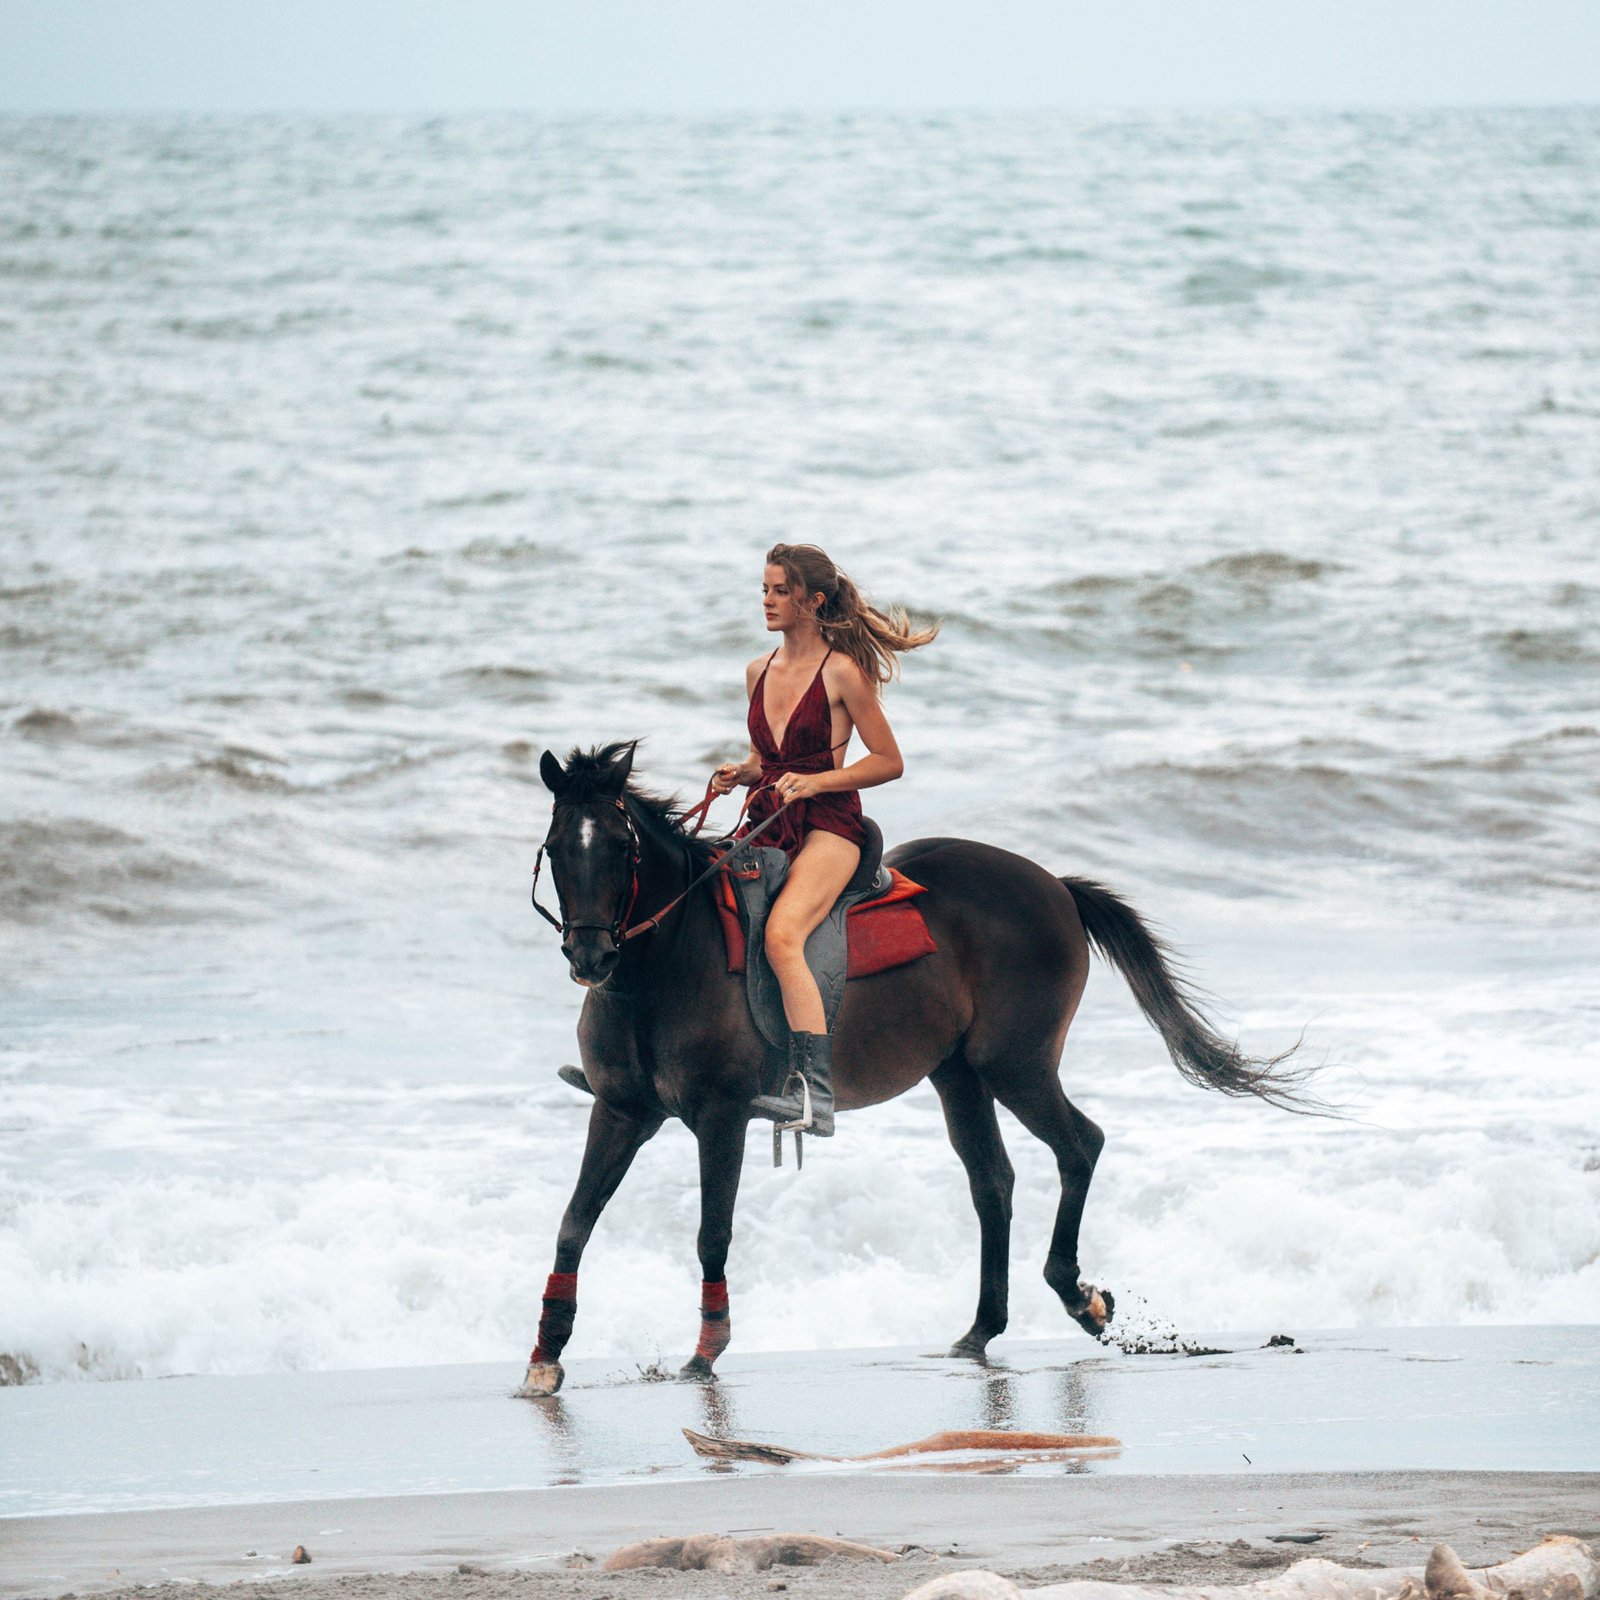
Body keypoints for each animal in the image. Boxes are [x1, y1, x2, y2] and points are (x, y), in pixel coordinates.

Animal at [512, 742, 1312, 1395]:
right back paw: (983, 1328)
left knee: (1079, 1145)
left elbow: (713, 1232)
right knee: (993, 1181)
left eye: (621, 848)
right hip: (958, 1073)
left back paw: (1076, 1296)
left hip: (1015, 1066)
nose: (591, 956)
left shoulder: (721, 1117)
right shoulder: (621, 1113)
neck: (667, 961)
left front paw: (706, 1351)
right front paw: (546, 1355)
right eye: (557, 847)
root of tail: (1055, 885)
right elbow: (573, 1224)